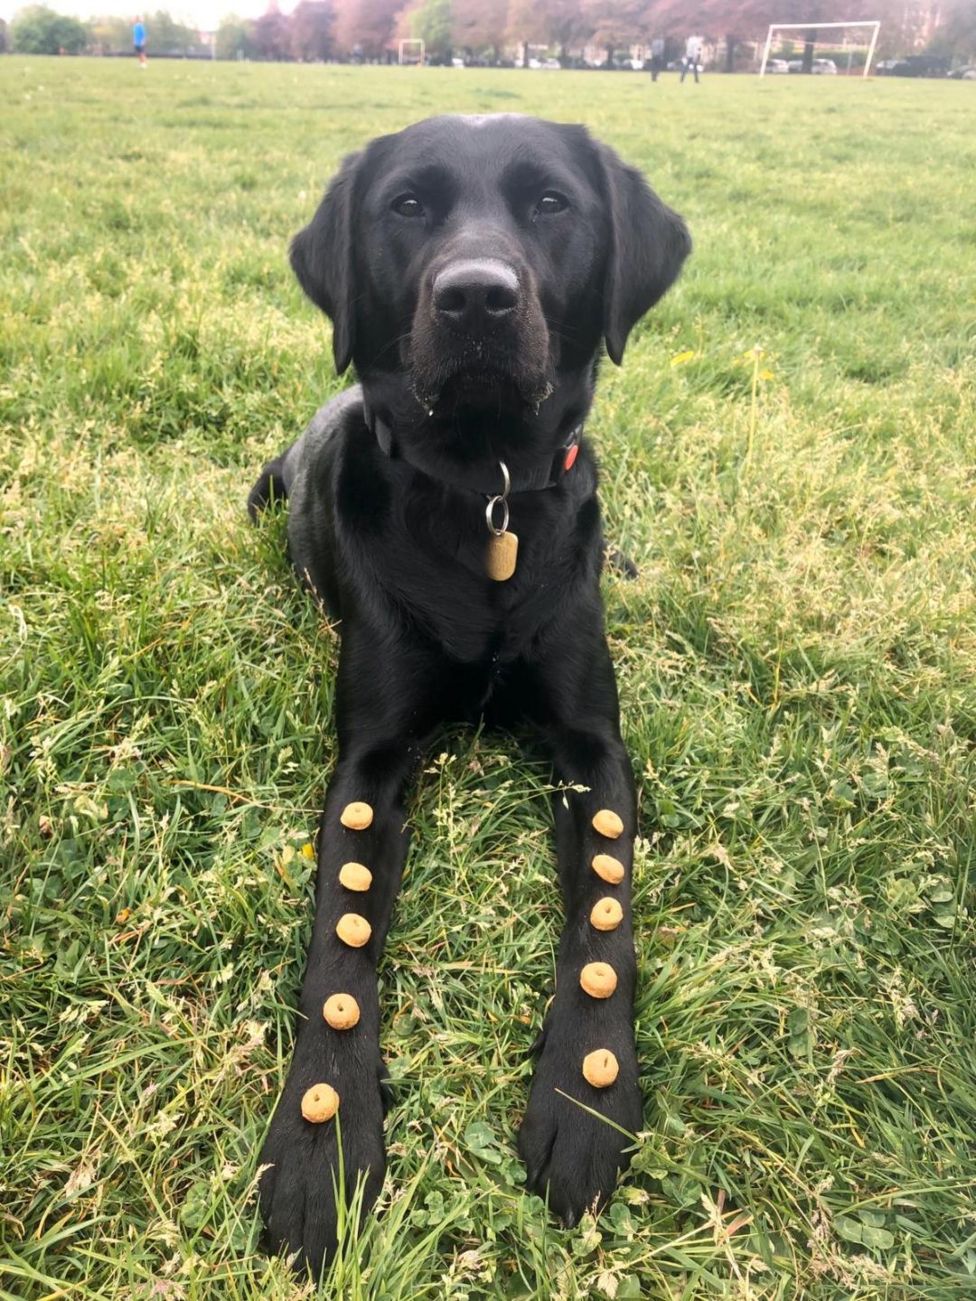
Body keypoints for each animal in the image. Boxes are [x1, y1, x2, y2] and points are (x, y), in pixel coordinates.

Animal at [248, 111, 692, 1269]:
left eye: (550, 203)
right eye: (407, 206)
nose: (476, 297)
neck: (485, 499)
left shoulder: (593, 744)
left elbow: (605, 912)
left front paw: (586, 1100)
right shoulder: (369, 758)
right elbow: (342, 939)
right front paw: (320, 1137)